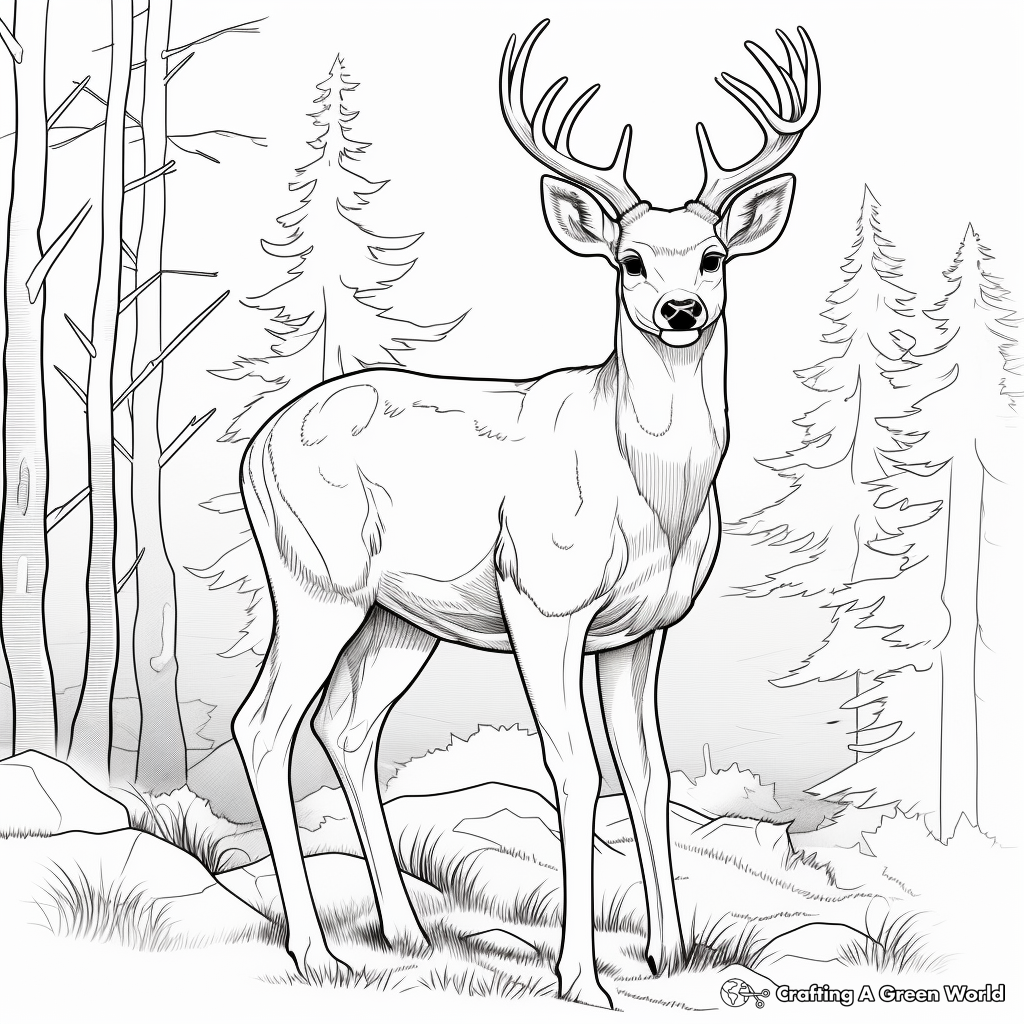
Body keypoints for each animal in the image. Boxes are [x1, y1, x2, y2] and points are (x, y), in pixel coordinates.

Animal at [233, 19, 819, 1007]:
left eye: (714, 256)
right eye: (628, 259)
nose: (681, 309)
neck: (651, 493)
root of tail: (254, 446)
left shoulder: (643, 629)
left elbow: (649, 774)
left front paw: (668, 951)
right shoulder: (543, 600)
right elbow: (575, 770)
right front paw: (582, 977)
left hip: (401, 618)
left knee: (346, 728)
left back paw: (405, 929)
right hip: (315, 581)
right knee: (263, 725)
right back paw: (316, 952)